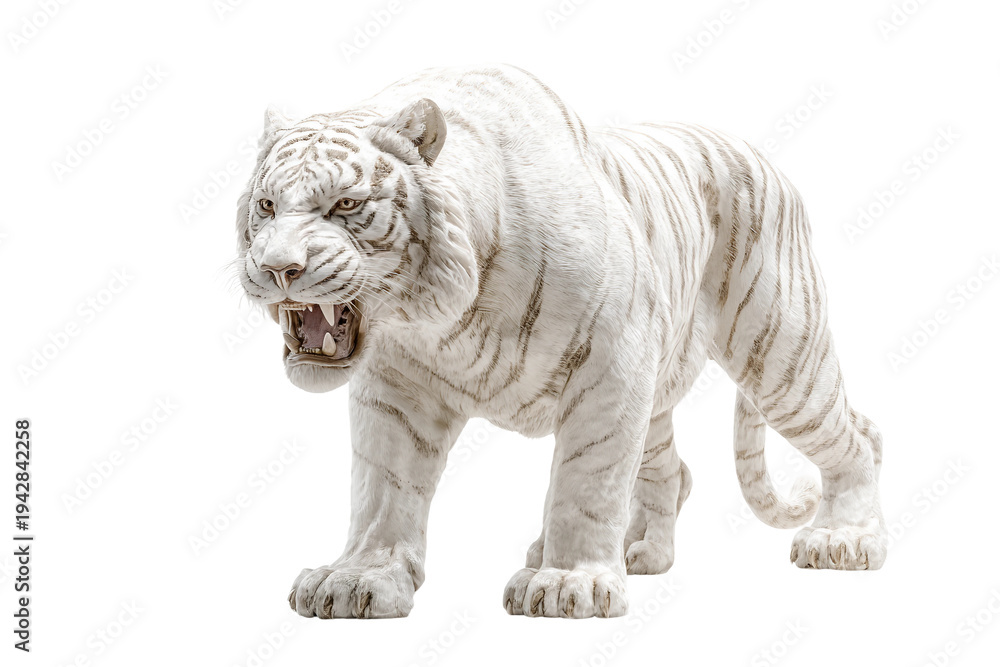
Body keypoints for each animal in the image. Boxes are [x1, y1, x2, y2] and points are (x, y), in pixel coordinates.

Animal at [235, 64, 886, 619]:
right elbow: (382, 490)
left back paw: (844, 539)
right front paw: (356, 579)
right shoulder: (396, 388)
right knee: (671, 470)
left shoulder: (612, 367)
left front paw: (570, 582)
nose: (276, 268)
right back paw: (638, 551)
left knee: (860, 437)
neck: (444, 313)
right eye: (266, 205)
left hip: (782, 355)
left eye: (346, 205)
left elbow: (586, 480)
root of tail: (760, 155)